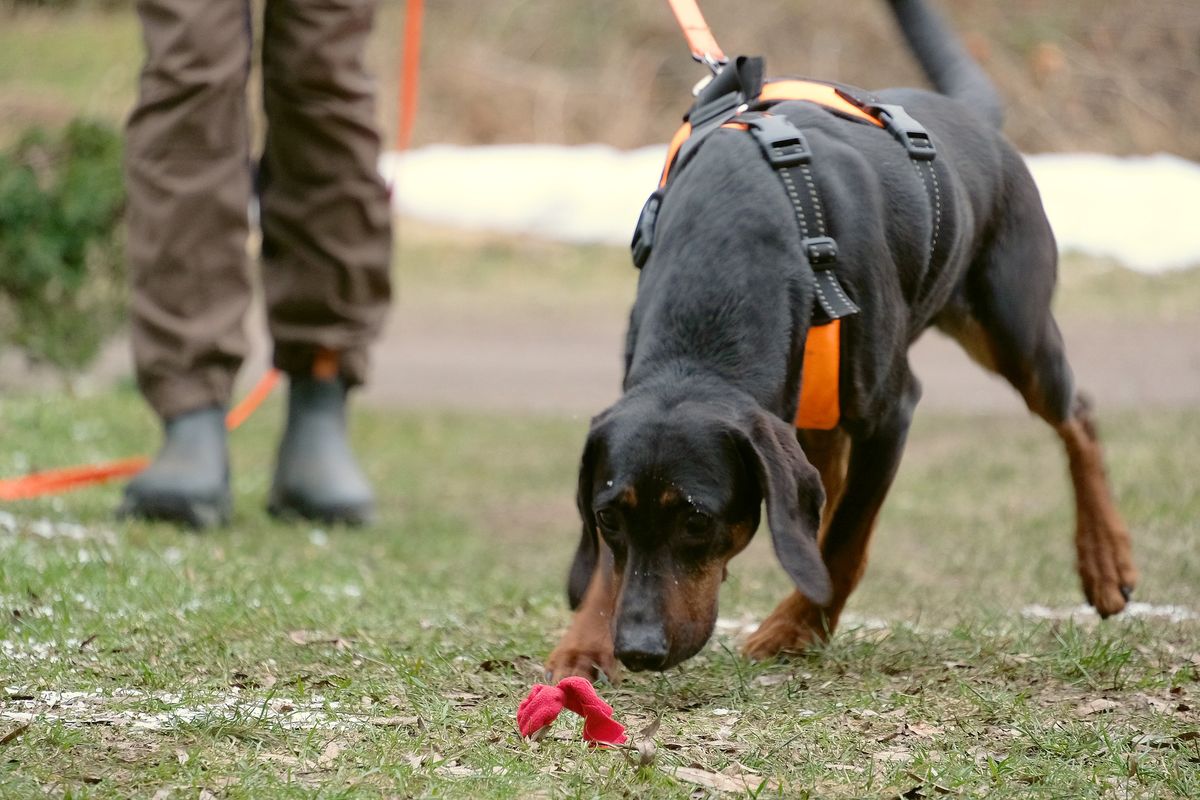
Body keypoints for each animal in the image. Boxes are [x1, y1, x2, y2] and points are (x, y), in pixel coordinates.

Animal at [544, 0, 1132, 681]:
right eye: (607, 516)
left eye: (696, 518)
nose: (638, 649)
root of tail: (969, 115)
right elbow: (613, 564)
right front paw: (585, 641)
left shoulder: (891, 410)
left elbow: (848, 534)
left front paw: (797, 626)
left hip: (1014, 328)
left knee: (1076, 412)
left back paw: (1106, 559)